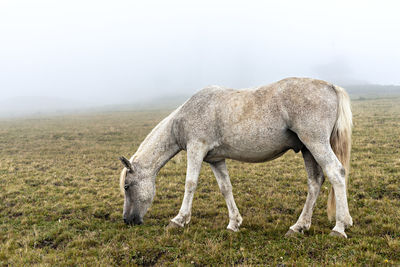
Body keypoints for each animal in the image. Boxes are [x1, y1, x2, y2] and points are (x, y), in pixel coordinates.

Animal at [119, 77, 354, 239]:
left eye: (127, 186)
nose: (128, 220)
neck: (186, 115)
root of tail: (331, 86)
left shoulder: (196, 149)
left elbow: (190, 184)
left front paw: (179, 220)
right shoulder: (215, 159)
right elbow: (226, 188)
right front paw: (234, 223)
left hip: (315, 143)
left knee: (336, 173)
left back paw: (339, 227)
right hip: (307, 148)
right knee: (315, 182)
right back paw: (299, 227)